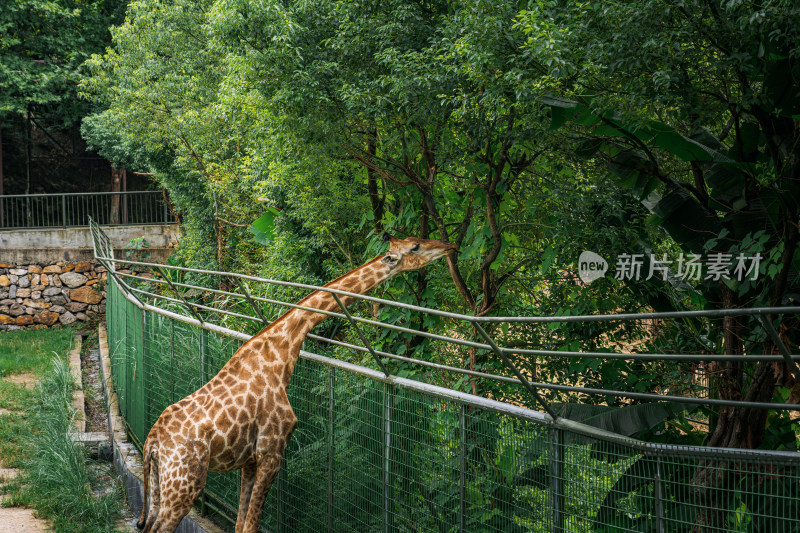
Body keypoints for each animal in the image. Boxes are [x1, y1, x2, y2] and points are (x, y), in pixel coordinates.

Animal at [138, 234, 456, 532]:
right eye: (415, 247)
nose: (449, 246)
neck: (284, 349)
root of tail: (152, 443)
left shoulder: (250, 460)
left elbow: (241, 524)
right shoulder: (272, 451)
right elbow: (251, 524)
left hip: (159, 483)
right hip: (185, 482)